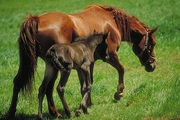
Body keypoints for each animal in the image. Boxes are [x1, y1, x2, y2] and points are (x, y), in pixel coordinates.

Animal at [7, 4, 158, 119]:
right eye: (152, 43)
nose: (152, 65)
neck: (111, 21)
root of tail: (36, 19)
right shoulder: (111, 55)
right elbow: (121, 69)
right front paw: (119, 93)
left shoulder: (88, 64)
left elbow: (86, 84)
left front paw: (87, 104)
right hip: (57, 69)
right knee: (50, 87)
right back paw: (57, 112)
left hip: (37, 65)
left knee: (20, 82)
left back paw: (12, 112)